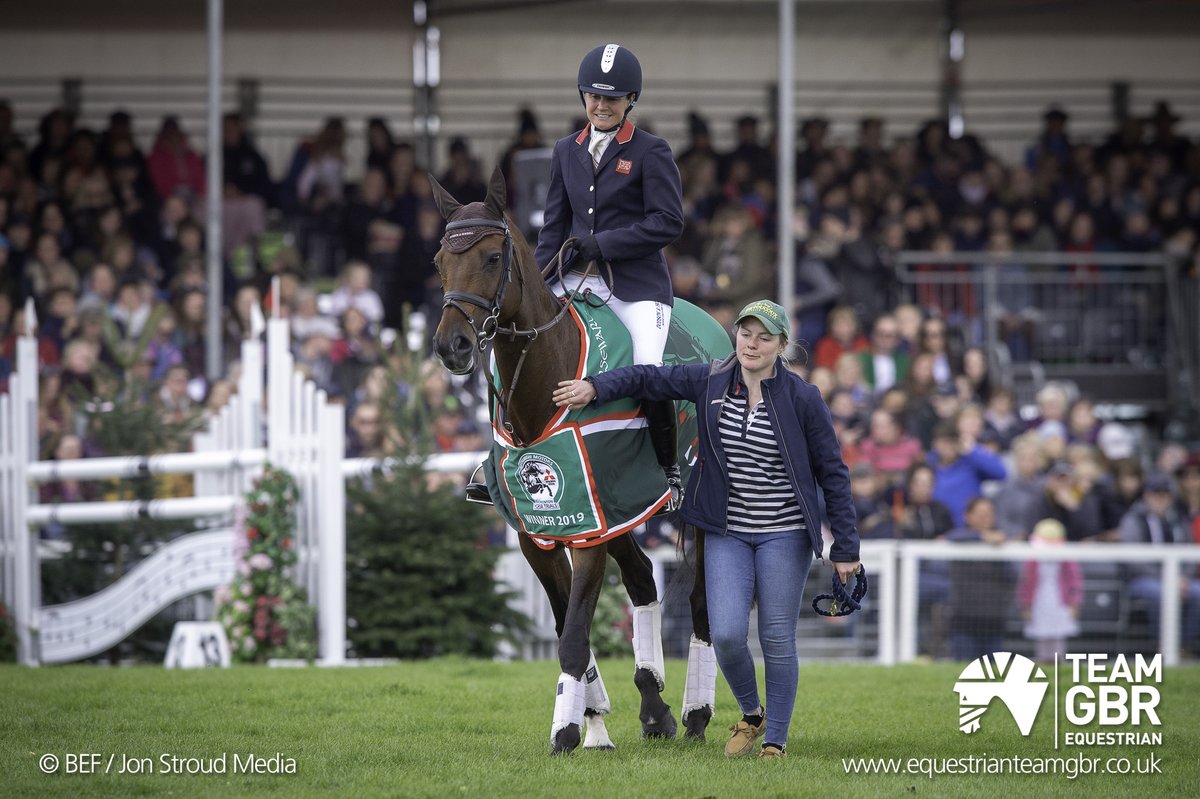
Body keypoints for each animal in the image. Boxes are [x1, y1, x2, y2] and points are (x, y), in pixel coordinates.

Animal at [429, 167, 727, 755]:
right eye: (438, 260)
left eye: (493, 258)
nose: (452, 346)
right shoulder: (545, 532)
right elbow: (572, 626)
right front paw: (594, 724)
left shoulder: (590, 532)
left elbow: (572, 636)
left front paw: (565, 731)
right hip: (623, 511)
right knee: (643, 580)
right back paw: (654, 707)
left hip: (688, 510)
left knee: (702, 603)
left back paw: (695, 714)